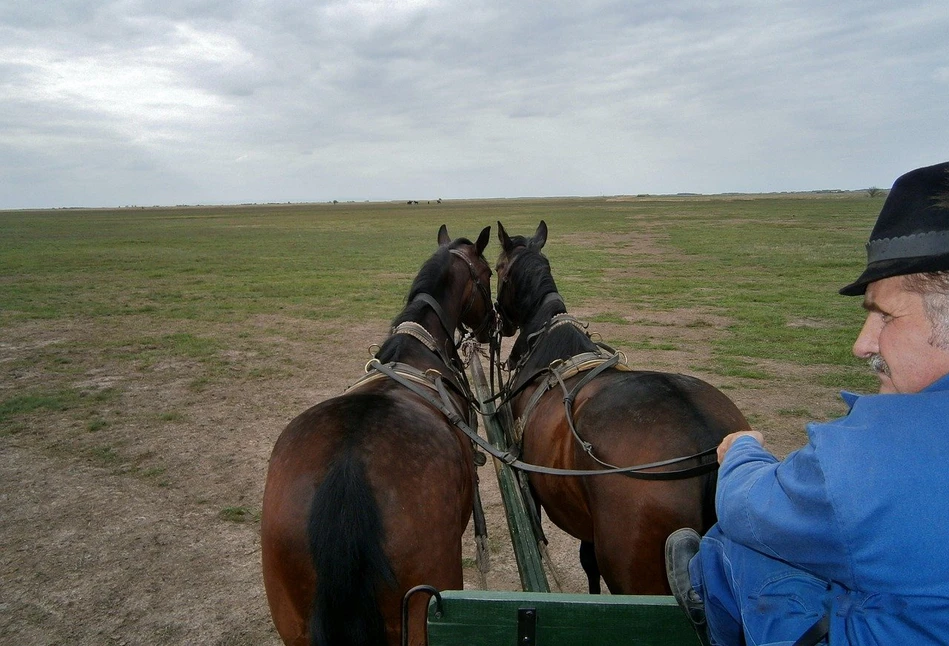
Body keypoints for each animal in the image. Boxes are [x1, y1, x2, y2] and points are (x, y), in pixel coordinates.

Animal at [262, 225, 492, 644]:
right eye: (488, 274)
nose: (495, 323)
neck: (417, 346)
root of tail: (347, 470)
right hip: (423, 608)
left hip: (292, 620)